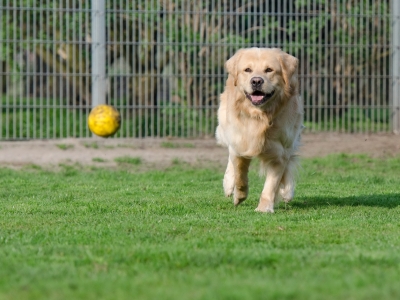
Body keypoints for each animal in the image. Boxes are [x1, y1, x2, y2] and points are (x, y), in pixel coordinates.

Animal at [216, 47, 304, 212]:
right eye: (247, 70)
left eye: (269, 70)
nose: (256, 81)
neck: (260, 117)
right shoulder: (240, 143)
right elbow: (240, 175)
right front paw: (238, 196)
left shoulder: (281, 152)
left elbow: (271, 185)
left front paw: (264, 208)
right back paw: (228, 184)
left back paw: (287, 191)